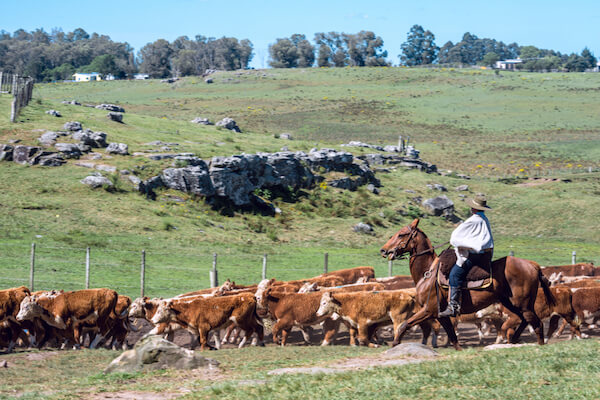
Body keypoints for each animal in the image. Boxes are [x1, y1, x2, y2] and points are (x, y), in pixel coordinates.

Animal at [382, 219, 556, 350]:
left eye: (401, 234)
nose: (383, 250)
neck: (428, 272)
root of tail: (533, 265)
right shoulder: (440, 314)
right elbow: (453, 337)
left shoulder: (428, 310)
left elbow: (404, 325)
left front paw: (395, 344)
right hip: (512, 303)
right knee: (525, 320)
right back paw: (514, 340)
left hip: (523, 304)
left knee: (537, 324)